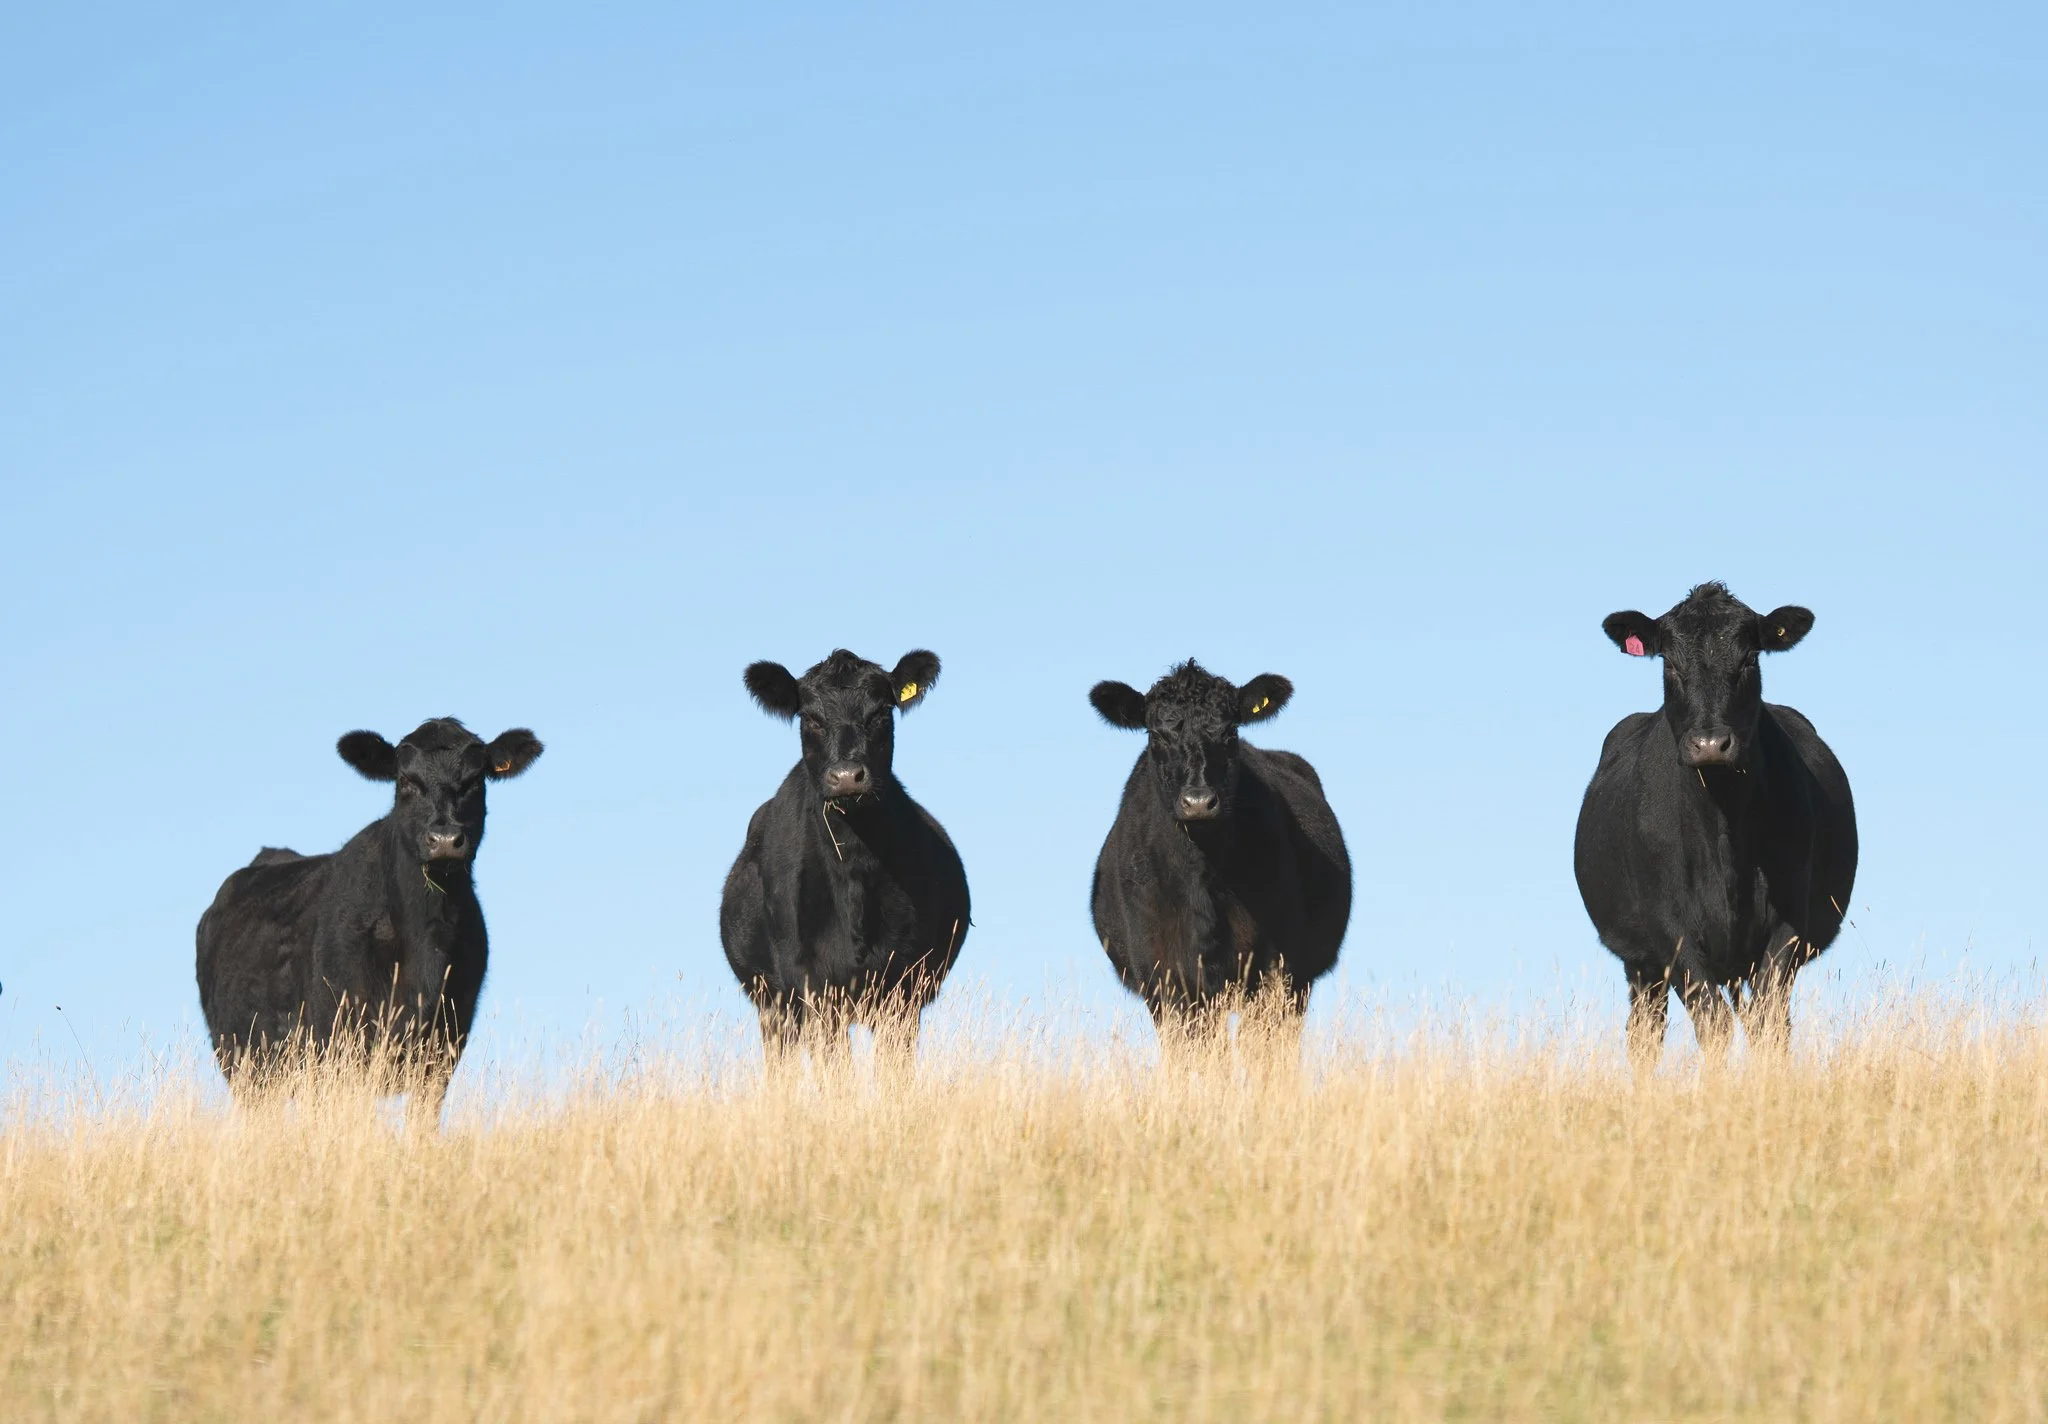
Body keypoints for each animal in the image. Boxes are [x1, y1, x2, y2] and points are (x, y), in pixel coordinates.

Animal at [195, 718, 543, 1122]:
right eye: (405, 780)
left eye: (475, 780)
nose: (444, 839)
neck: (425, 946)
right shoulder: (337, 1045)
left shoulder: (443, 1049)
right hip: (247, 1065)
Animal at [720, 649, 970, 1071]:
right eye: (810, 718)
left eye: (881, 713)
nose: (847, 776)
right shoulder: (812, 984)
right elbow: (834, 1066)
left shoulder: (902, 986)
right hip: (773, 1006)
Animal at [1574, 582, 1857, 1069]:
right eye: (1669, 662)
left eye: (1748, 659)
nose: (1710, 744)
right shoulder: (1671, 931)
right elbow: (1712, 1022)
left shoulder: (1789, 922)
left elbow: (1768, 1023)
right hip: (1641, 963)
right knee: (1645, 1033)